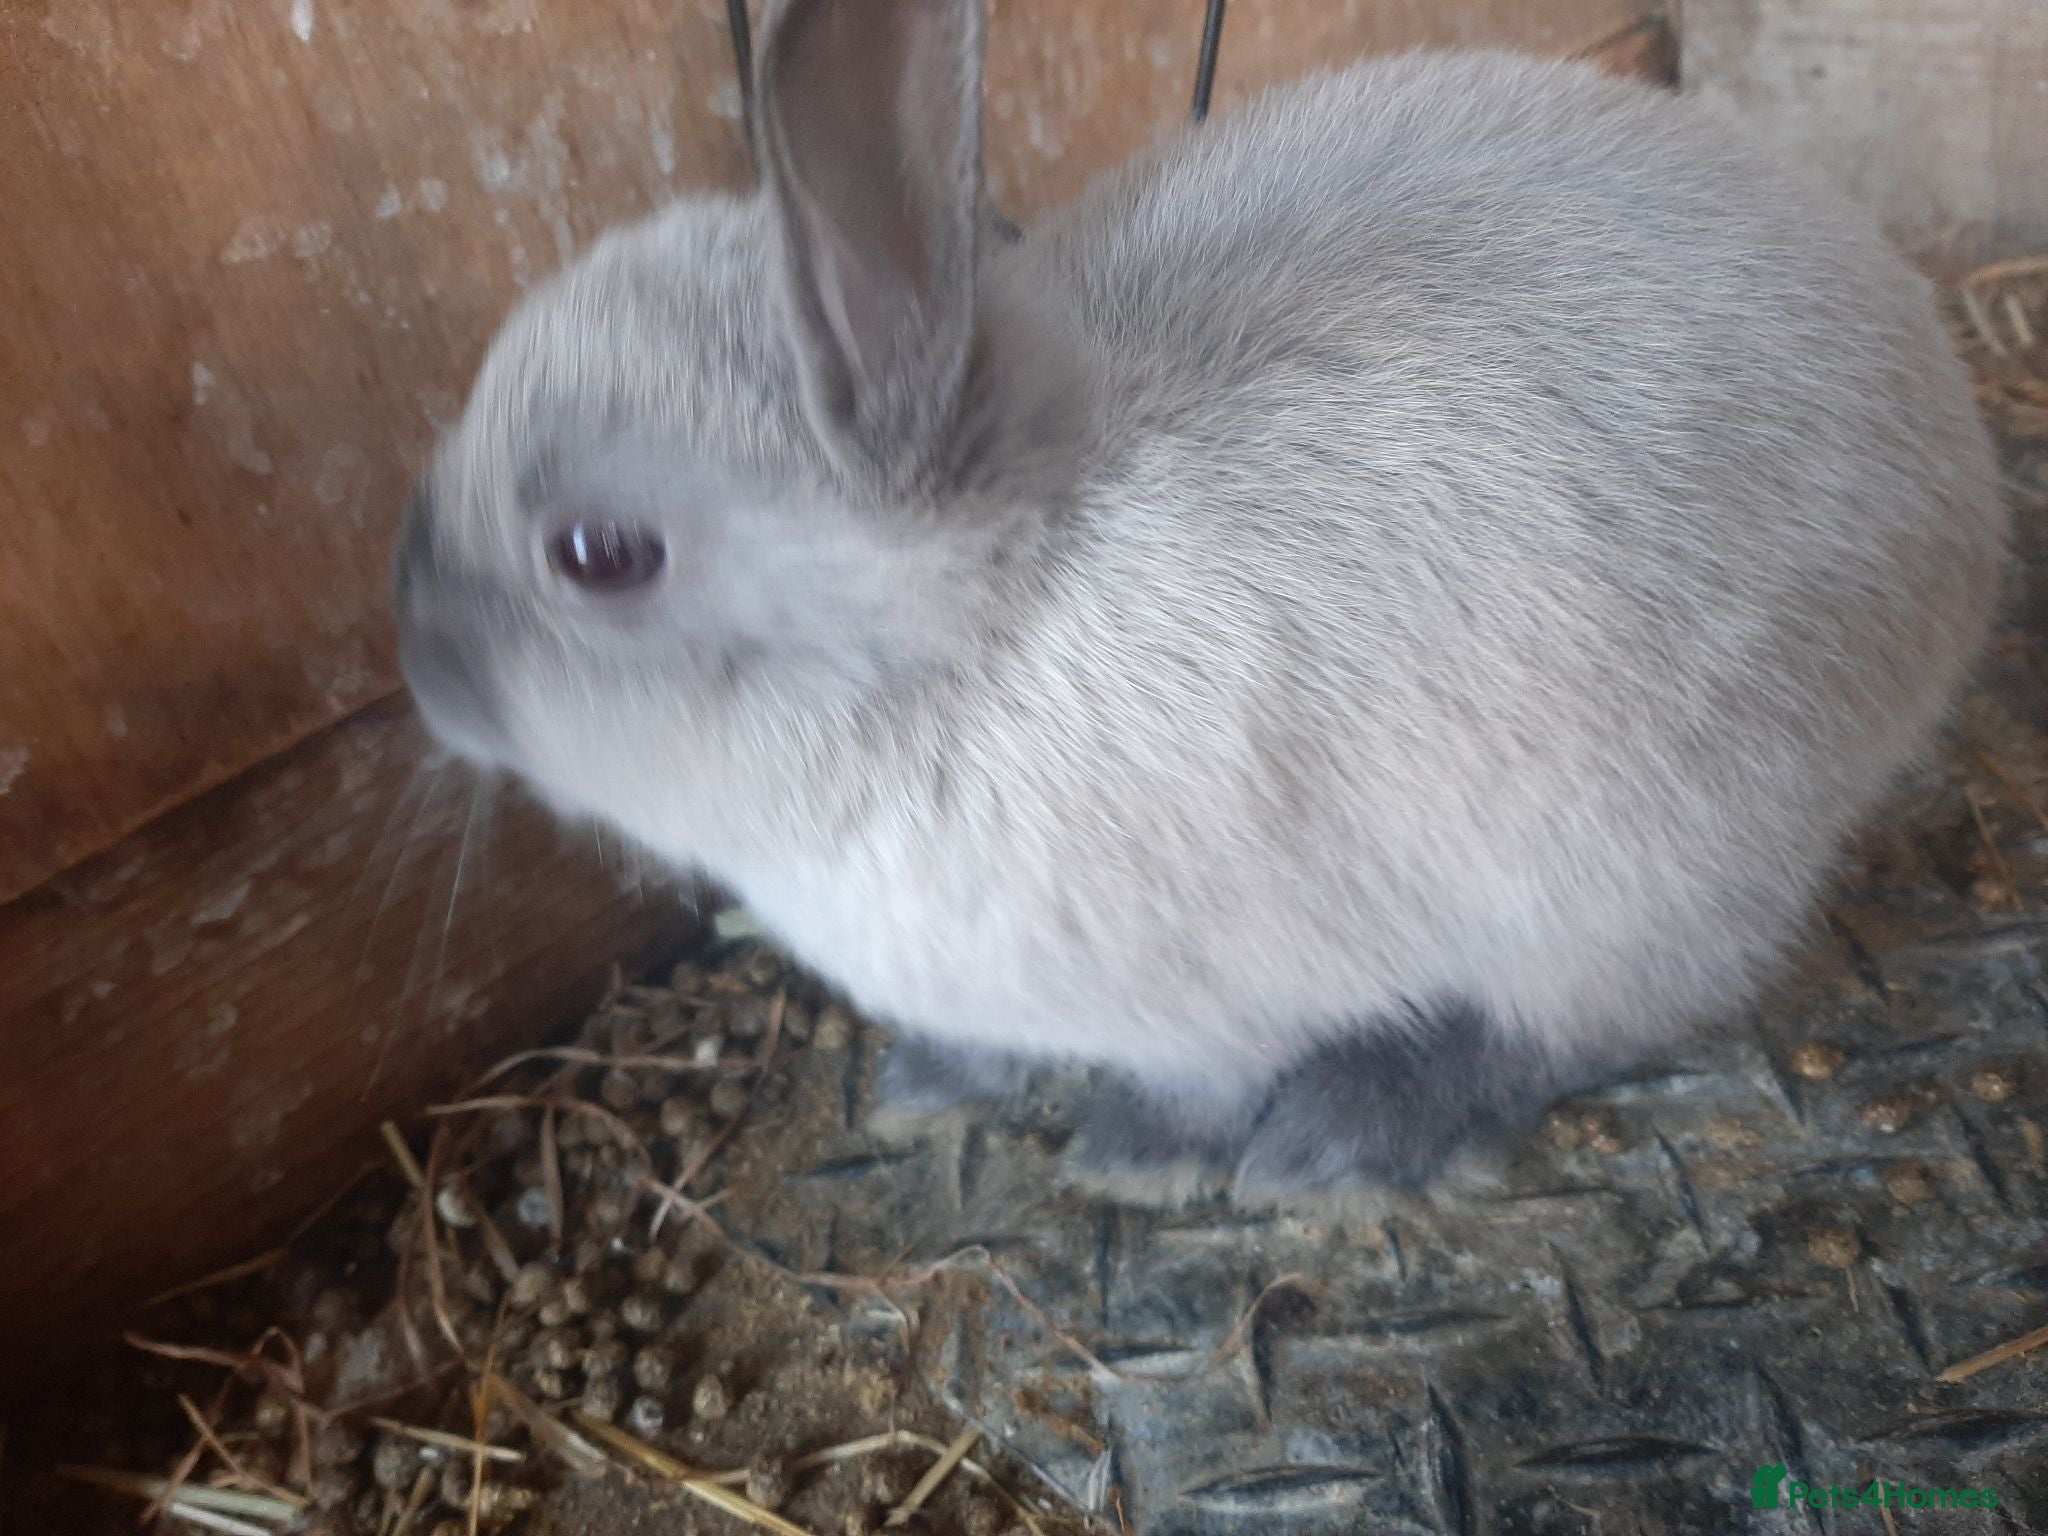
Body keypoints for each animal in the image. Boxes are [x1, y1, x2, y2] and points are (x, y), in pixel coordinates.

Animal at [393, 0, 2006, 1206]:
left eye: (601, 554)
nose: (416, 664)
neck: (994, 618)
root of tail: (1961, 494)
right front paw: (933, 1087)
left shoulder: (1214, 992)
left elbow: (1201, 1079)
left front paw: (1136, 1159)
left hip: (1638, 874)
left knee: (1592, 1024)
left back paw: (1348, 1140)